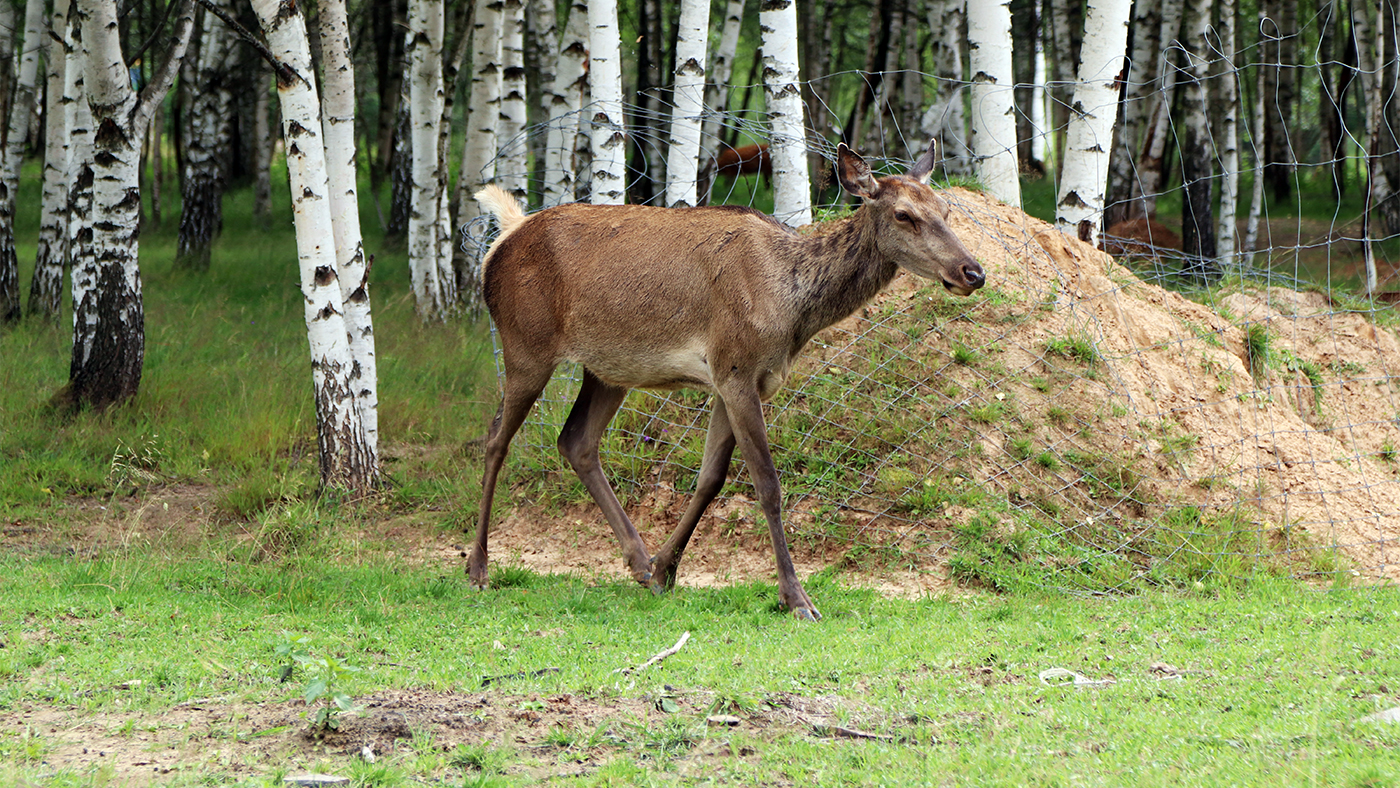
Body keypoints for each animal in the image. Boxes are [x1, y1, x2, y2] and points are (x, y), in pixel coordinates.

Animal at [470, 142, 985, 624]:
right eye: (904, 214)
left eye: (945, 211)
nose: (973, 271)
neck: (793, 310)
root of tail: (503, 240)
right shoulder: (736, 368)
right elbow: (767, 484)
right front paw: (797, 599)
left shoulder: (735, 381)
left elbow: (710, 479)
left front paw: (664, 570)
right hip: (525, 344)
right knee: (495, 439)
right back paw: (478, 568)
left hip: (608, 368)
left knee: (576, 441)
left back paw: (638, 561)